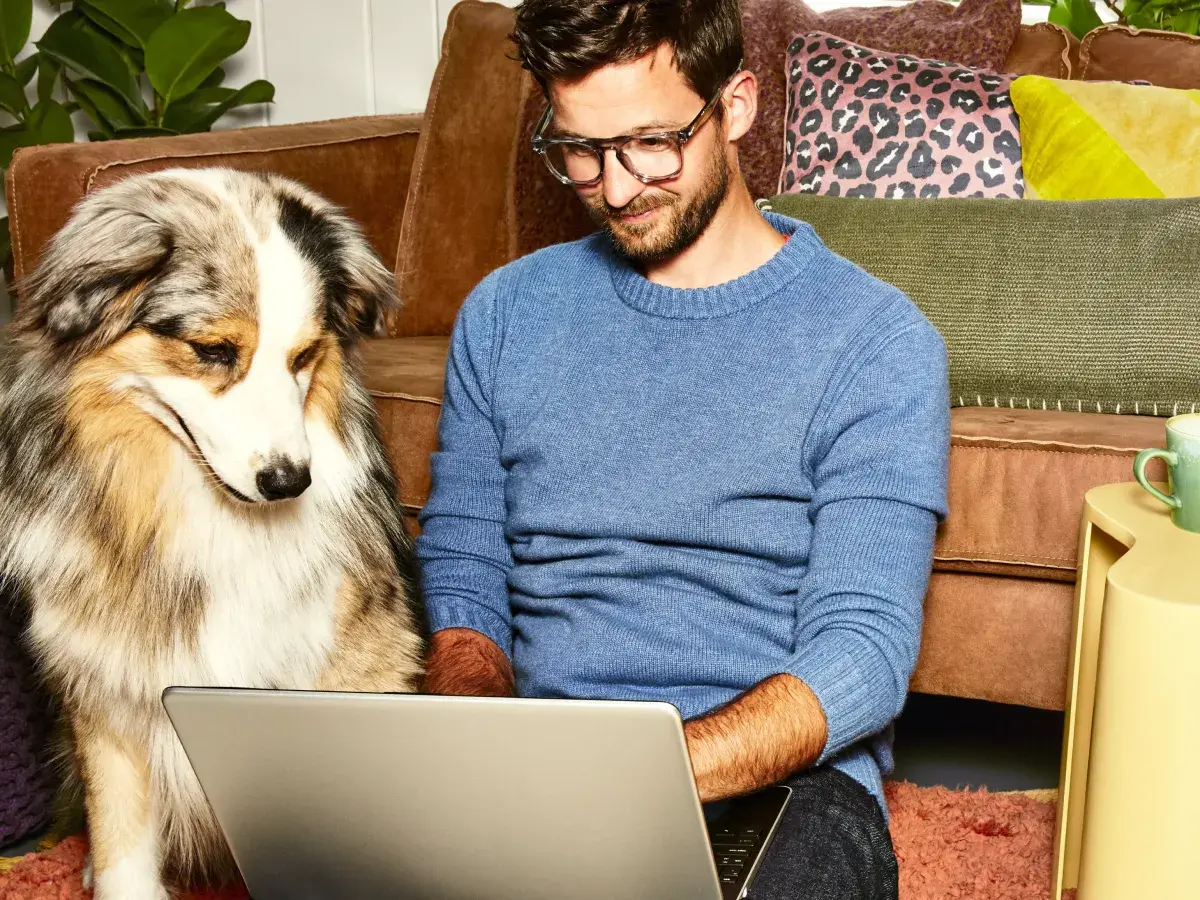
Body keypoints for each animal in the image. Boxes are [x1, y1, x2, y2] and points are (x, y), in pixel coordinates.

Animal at [0, 169, 429, 900]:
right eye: (213, 351)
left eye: (304, 357)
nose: (289, 481)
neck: (204, 515)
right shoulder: (109, 697)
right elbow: (122, 848)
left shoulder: (348, 660)